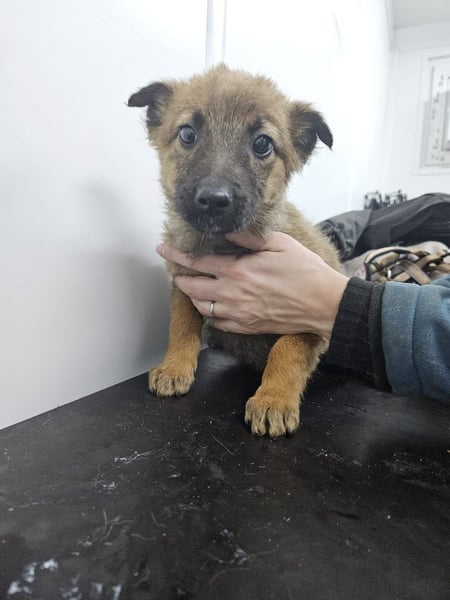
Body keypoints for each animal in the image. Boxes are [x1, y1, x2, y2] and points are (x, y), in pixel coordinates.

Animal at [128, 65, 340, 438]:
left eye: (262, 143)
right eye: (187, 134)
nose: (214, 200)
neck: (221, 244)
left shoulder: (308, 317)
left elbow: (287, 348)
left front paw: (273, 400)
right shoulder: (183, 282)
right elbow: (181, 324)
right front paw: (174, 368)